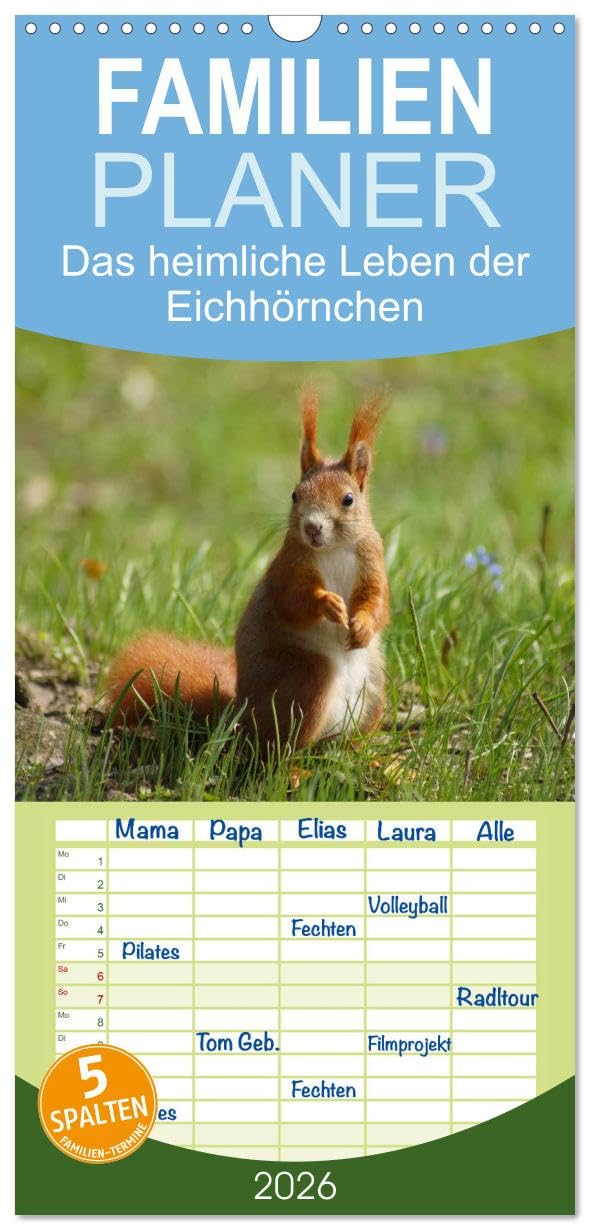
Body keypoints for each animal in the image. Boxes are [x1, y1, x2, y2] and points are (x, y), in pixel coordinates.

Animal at [106, 390, 390, 751]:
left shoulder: (373, 562)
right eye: (295, 494)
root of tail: (239, 716)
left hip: (374, 687)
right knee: (280, 745)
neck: (333, 549)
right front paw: (327, 603)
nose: (312, 527)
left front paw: (363, 625)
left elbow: (378, 602)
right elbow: (292, 601)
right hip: (305, 678)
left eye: (348, 499)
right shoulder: (288, 568)